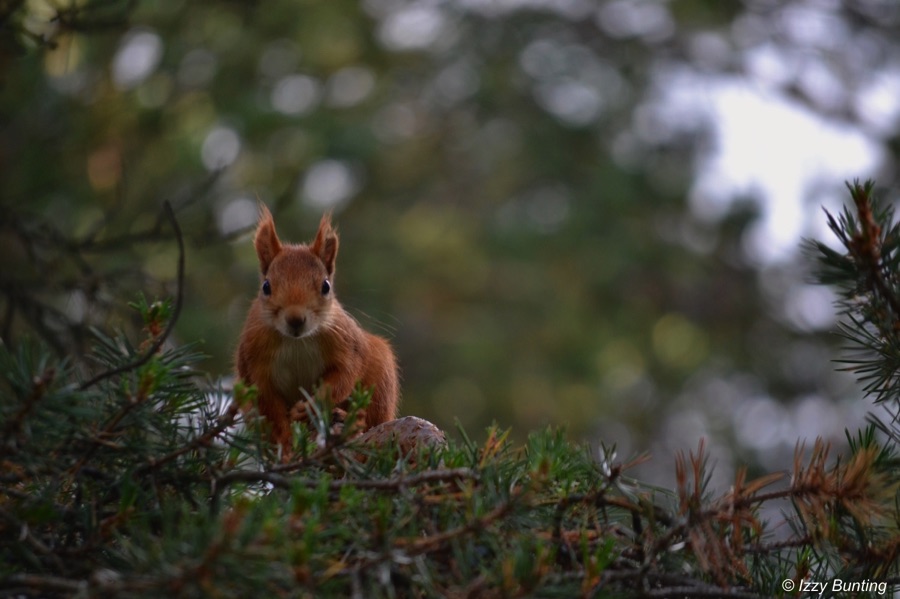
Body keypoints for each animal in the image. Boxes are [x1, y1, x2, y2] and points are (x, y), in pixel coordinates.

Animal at [235, 205, 399, 451]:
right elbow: (269, 407)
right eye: (266, 286)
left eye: (326, 286)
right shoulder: (253, 362)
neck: (296, 342)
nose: (295, 319)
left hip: (381, 374)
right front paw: (286, 443)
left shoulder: (345, 344)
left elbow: (343, 376)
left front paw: (310, 406)